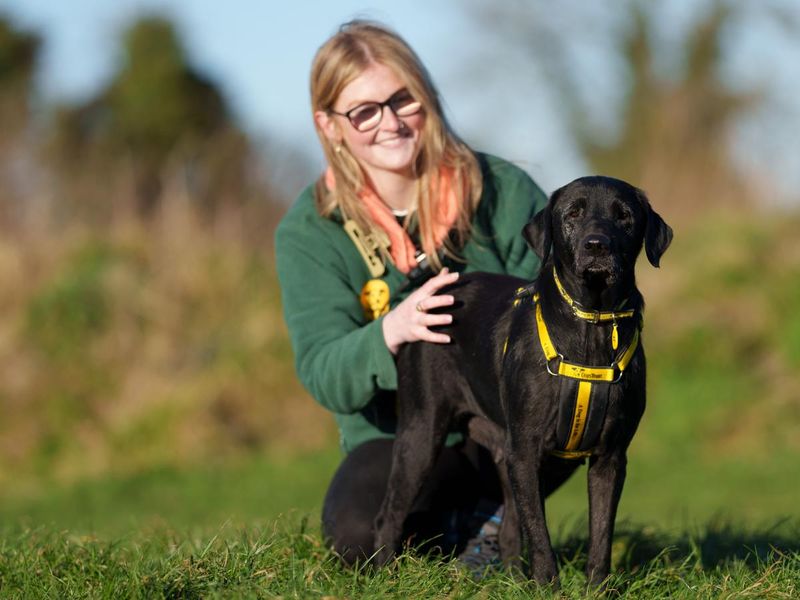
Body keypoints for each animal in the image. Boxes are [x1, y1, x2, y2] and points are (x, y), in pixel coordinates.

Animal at [372, 175, 672, 584]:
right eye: (573, 213)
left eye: (624, 215)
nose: (597, 245)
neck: (591, 326)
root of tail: (437, 293)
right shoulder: (528, 451)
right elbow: (540, 536)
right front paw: (548, 586)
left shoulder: (609, 457)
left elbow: (601, 537)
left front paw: (597, 588)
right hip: (422, 432)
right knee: (389, 514)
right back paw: (382, 575)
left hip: (505, 451)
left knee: (510, 530)